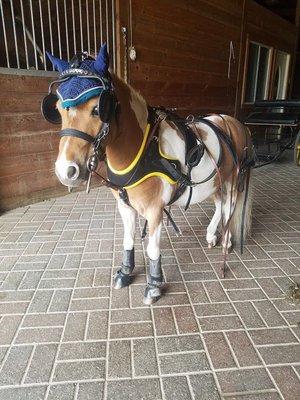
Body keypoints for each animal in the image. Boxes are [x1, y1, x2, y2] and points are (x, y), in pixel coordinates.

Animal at [42, 43, 253, 304]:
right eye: (57, 110)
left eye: (97, 109)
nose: (66, 170)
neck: (142, 151)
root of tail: (236, 124)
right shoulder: (125, 206)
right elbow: (128, 240)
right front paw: (125, 272)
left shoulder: (154, 211)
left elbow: (153, 249)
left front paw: (153, 285)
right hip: (215, 180)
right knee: (219, 204)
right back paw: (213, 235)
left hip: (232, 180)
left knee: (229, 206)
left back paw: (226, 241)